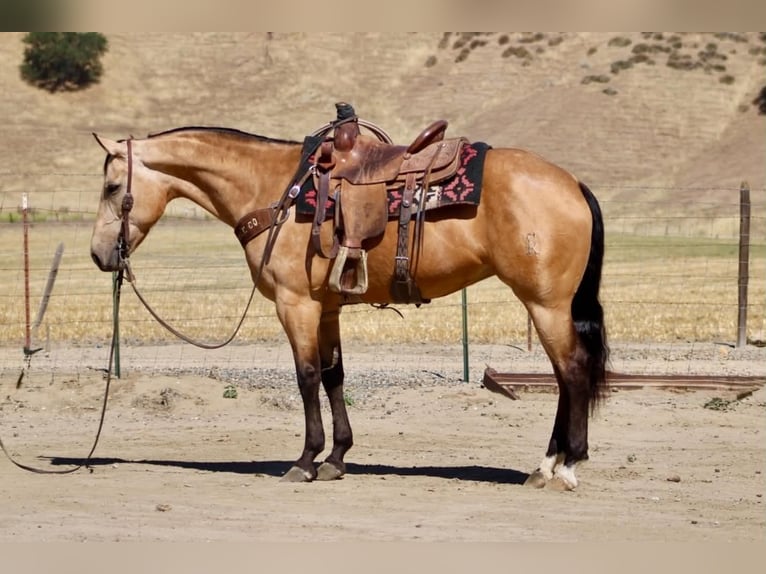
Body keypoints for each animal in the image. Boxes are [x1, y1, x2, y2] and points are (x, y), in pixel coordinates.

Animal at [89, 115, 608, 491]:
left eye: (112, 188)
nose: (99, 254)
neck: (274, 189)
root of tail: (573, 183)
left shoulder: (295, 304)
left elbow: (306, 377)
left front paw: (304, 461)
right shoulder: (326, 308)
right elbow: (334, 376)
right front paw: (336, 458)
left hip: (545, 305)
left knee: (572, 371)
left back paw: (563, 467)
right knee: (566, 375)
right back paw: (549, 465)